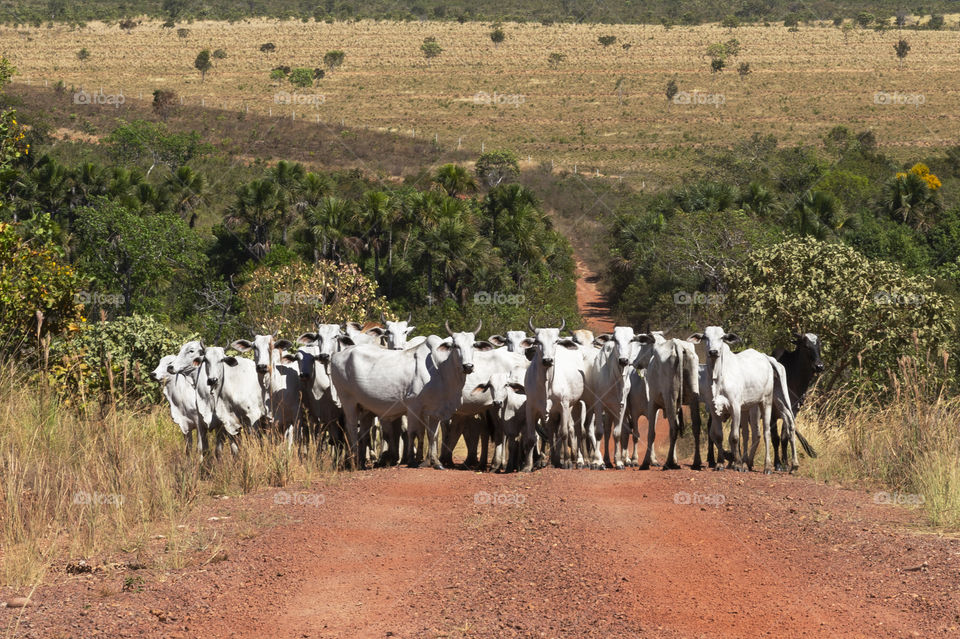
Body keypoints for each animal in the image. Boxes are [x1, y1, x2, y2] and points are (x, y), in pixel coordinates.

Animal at [688, 328, 792, 472]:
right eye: (705, 337)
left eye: (722, 337)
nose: (713, 352)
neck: (718, 377)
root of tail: (765, 357)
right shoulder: (715, 410)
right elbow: (719, 436)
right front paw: (720, 463)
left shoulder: (735, 407)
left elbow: (734, 437)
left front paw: (737, 464)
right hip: (748, 407)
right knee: (748, 433)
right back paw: (747, 462)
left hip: (765, 401)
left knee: (765, 432)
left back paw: (767, 466)